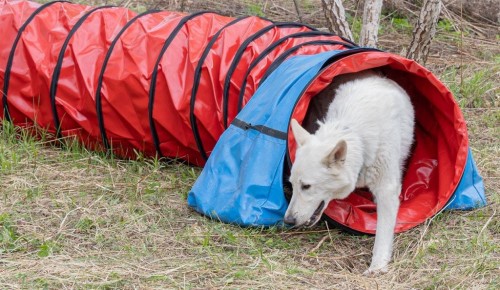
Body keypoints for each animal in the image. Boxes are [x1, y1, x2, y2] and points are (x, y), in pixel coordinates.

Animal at [286, 72, 414, 274]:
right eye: (292, 184)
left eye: (306, 186)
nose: (288, 220)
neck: (357, 137)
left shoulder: (386, 189)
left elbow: (383, 232)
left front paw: (377, 267)